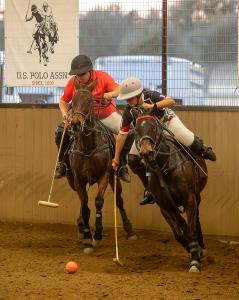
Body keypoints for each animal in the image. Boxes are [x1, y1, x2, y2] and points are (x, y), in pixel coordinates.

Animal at [67, 80, 136, 253]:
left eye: (90, 101)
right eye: (72, 101)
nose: (75, 124)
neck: (87, 146)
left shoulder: (104, 175)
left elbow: (98, 201)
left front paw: (97, 235)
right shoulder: (78, 180)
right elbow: (85, 205)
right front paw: (87, 238)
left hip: (114, 177)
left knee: (119, 200)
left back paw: (129, 230)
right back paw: (81, 225)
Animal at [134, 111, 208, 274]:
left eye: (154, 127)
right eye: (136, 130)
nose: (146, 152)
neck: (163, 167)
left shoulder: (189, 199)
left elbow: (190, 229)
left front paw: (195, 260)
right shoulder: (166, 206)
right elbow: (180, 233)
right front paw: (192, 250)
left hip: (197, 196)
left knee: (196, 220)